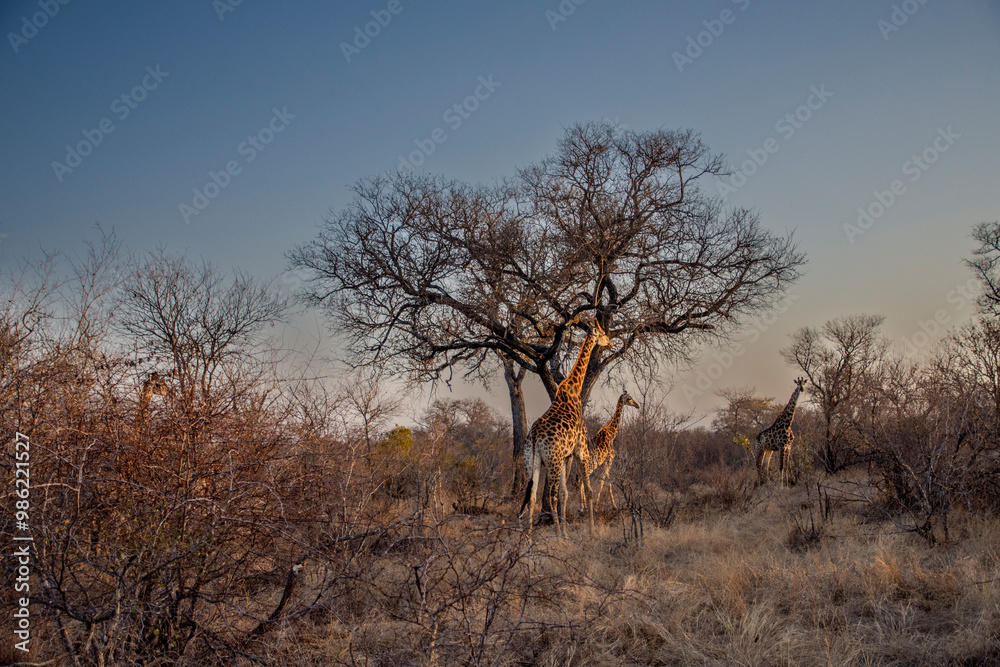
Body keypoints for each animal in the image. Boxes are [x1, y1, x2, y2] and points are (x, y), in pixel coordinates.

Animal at [520, 319, 612, 536]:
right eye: (601, 332)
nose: (610, 342)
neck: (574, 390)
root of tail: (534, 437)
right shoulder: (581, 450)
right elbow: (587, 490)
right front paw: (591, 530)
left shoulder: (566, 456)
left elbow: (565, 493)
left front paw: (567, 532)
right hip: (552, 461)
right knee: (550, 496)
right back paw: (558, 537)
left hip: (532, 461)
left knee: (532, 496)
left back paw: (528, 538)